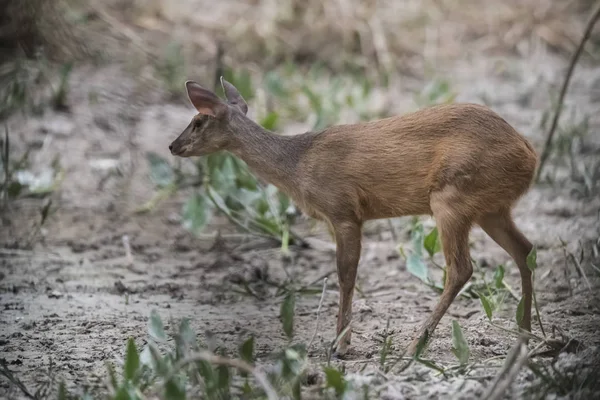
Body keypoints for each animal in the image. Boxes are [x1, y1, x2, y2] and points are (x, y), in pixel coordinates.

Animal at [170, 76, 540, 358]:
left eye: (198, 120)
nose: (173, 146)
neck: (298, 164)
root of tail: (530, 154)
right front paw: (339, 342)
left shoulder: (343, 211)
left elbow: (345, 275)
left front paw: (340, 345)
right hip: (491, 208)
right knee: (524, 250)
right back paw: (525, 335)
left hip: (452, 197)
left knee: (461, 268)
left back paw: (414, 347)